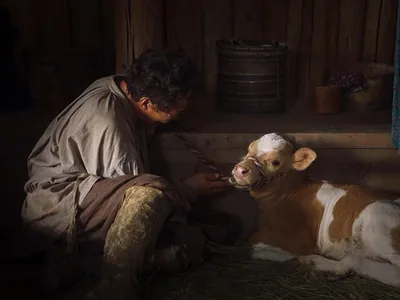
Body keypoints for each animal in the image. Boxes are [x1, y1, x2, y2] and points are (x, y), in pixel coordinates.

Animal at [230, 133, 400, 286]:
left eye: (275, 162)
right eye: (249, 149)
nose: (240, 170)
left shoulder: (297, 241)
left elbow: (254, 246)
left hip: (378, 219)